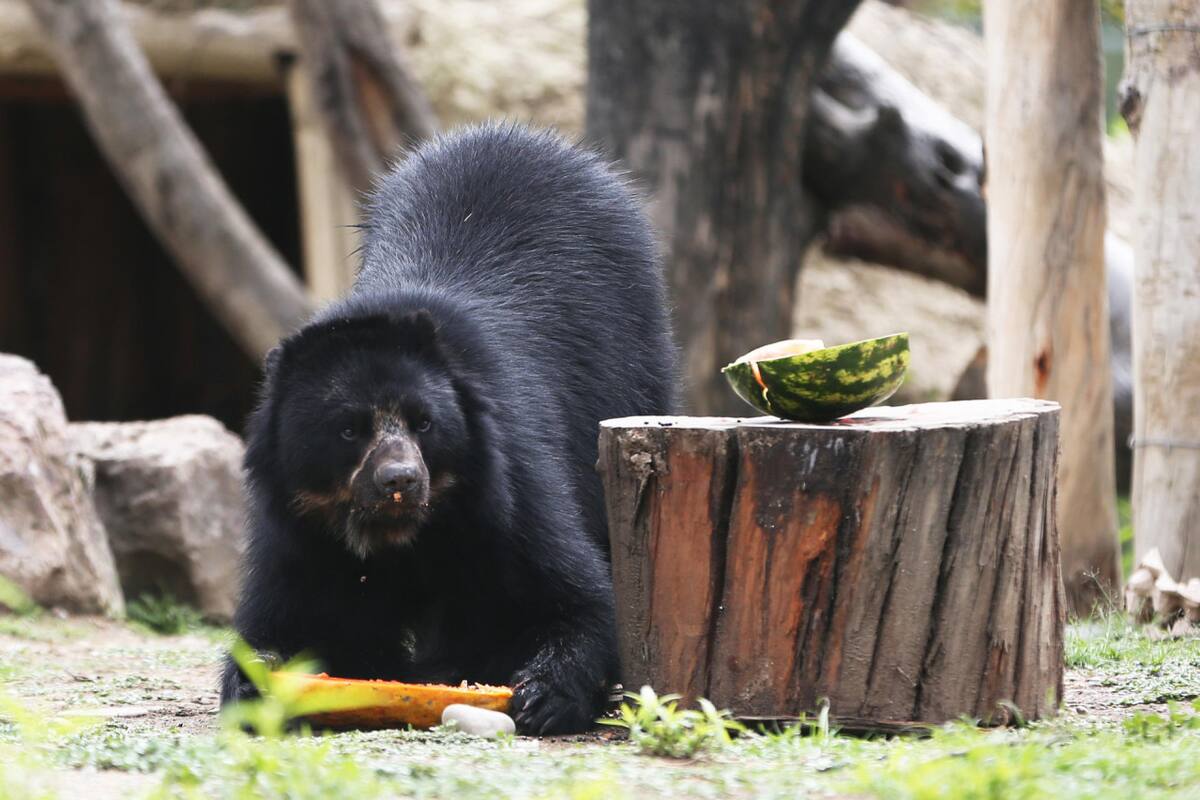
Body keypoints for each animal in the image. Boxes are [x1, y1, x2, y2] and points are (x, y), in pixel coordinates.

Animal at [220, 123, 675, 735]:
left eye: (425, 423)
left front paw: (543, 694)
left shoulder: (508, 479)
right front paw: (257, 683)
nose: (400, 480)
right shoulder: (296, 526)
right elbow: (283, 615)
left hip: (631, 369)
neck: (402, 534)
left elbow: (575, 595)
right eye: (348, 430)